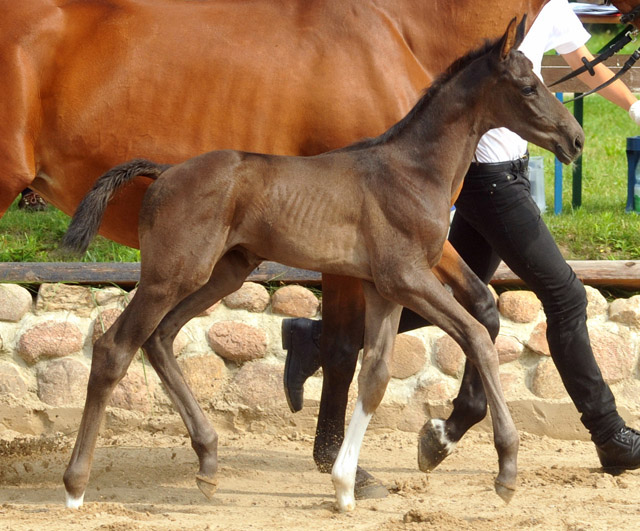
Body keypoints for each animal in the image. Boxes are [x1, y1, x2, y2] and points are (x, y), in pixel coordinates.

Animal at [63, 18, 580, 512]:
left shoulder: (383, 288)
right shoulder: (407, 277)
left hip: (224, 271)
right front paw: (506, 470)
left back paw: (208, 462)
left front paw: (346, 487)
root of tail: (165, 172)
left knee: (161, 338)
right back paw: (75, 487)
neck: (414, 170)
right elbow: (477, 337)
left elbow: (375, 376)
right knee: (114, 349)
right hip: (170, 276)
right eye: (528, 87)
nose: (575, 139)